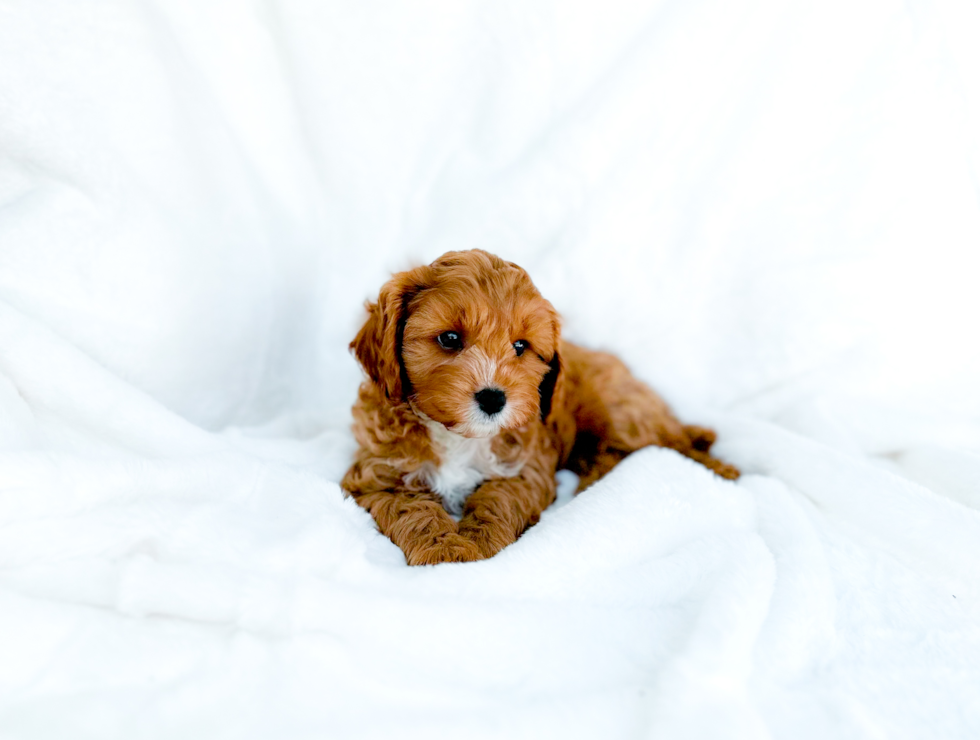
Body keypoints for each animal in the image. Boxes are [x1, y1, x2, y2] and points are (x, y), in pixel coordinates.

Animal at [340, 250, 740, 568]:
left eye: (520, 346)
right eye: (449, 338)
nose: (493, 398)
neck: (458, 438)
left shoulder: (525, 467)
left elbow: (497, 498)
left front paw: (477, 543)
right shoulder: (378, 474)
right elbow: (413, 509)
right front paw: (444, 550)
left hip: (621, 410)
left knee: (675, 445)